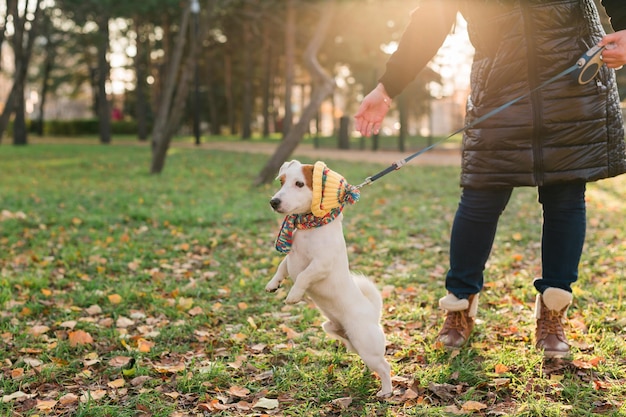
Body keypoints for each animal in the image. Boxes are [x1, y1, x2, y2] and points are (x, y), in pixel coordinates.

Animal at [264, 158, 390, 396]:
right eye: (282, 181)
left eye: (299, 184)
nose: (273, 201)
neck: (309, 227)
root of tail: (373, 313)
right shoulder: (291, 259)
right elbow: (281, 267)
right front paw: (273, 284)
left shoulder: (320, 264)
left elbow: (303, 276)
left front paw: (294, 295)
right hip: (340, 335)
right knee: (372, 363)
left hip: (367, 344)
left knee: (385, 367)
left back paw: (386, 391)